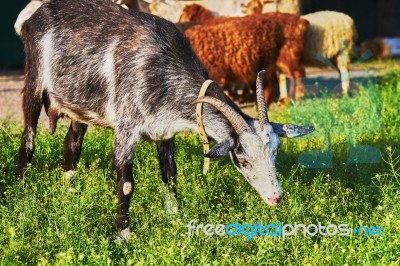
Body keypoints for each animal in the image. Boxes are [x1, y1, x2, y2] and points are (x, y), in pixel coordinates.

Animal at [17, 0, 314, 239]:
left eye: (275, 152)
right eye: (242, 159)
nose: (275, 197)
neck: (163, 65)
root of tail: (34, 16)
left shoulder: (165, 132)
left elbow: (170, 176)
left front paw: (176, 218)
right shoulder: (126, 126)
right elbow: (126, 184)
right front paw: (123, 233)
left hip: (80, 104)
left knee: (72, 142)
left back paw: (70, 192)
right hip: (34, 81)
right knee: (27, 140)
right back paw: (22, 190)